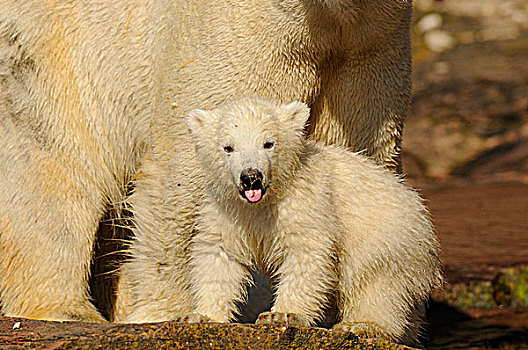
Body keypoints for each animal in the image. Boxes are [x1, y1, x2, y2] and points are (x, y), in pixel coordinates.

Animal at [0, 0, 412, 322]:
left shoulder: (371, 50)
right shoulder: (235, 34)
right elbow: (184, 175)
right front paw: (172, 311)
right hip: (48, 57)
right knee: (51, 170)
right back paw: (66, 309)